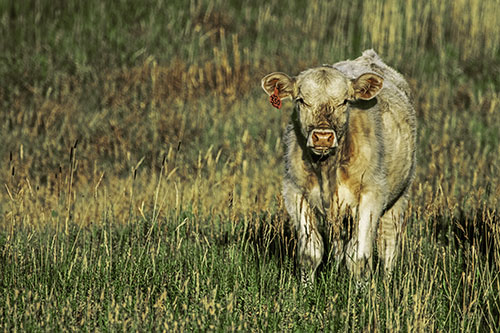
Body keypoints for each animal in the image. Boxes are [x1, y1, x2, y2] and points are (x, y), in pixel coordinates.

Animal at [260, 48, 416, 282]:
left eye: (344, 101)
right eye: (301, 100)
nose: (323, 137)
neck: (326, 169)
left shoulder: (372, 195)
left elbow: (359, 256)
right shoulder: (295, 193)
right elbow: (310, 253)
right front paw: (306, 287)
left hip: (400, 194)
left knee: (388, 242)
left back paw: (388, 280)